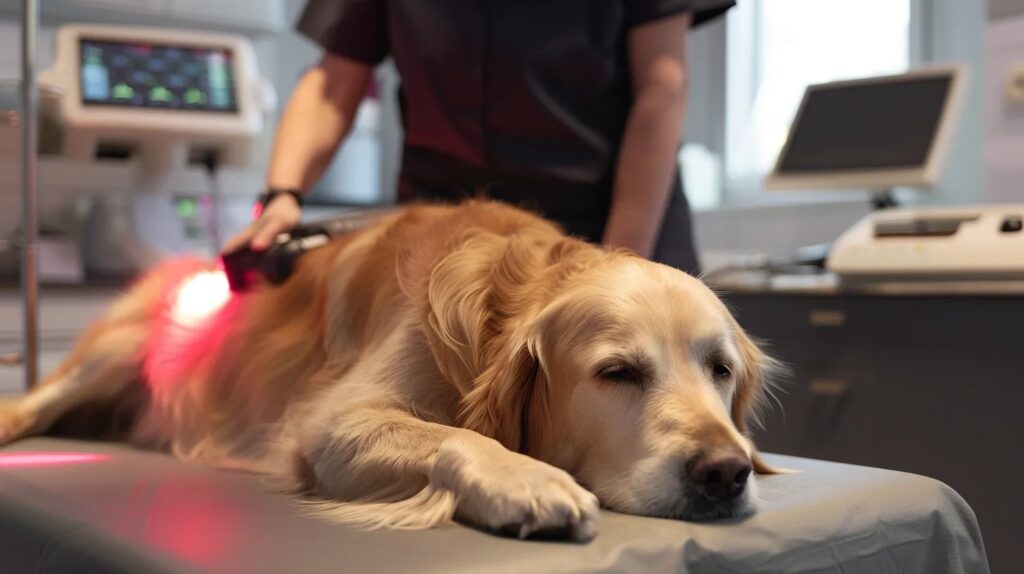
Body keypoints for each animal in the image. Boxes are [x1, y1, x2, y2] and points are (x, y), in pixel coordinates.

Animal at [0, 200, 774, 536]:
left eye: (720, 371)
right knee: (34, 401)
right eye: (616, 373)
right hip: (121, 346)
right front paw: (526, 479)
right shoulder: (328, 424)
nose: (725, 473)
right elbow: (460, 434)